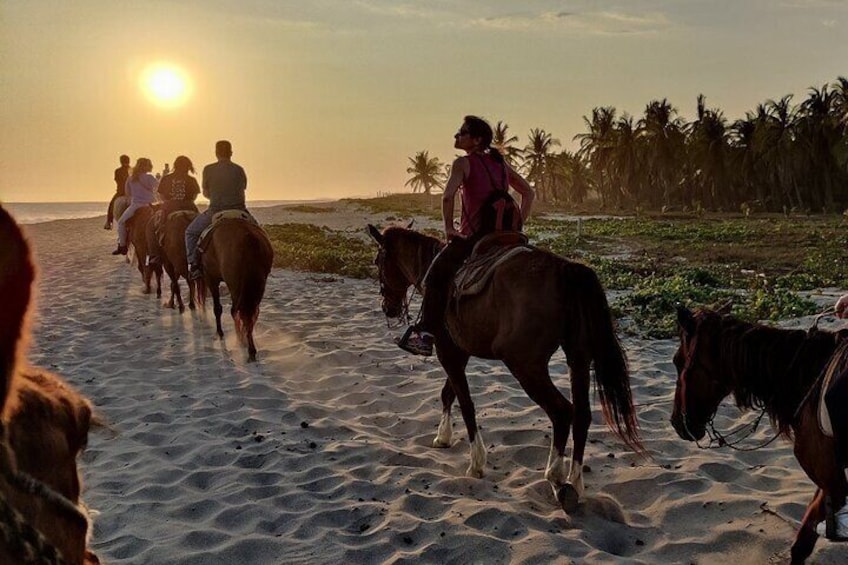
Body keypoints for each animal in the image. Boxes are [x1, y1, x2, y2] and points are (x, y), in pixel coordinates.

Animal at [194, 218, 274, 360]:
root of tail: (248, 239)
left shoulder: (211, 279)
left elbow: (217, 308)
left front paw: (220, 333)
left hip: (235, 286)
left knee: (237, 311)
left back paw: (243, 341)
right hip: (257, 287)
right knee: (250, 313)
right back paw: (248, 345)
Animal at [368, 225, 640, 512]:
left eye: (378, 261)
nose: (388, 308)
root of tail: (566, 269)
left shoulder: (447, 351)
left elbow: (466, 403)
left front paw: (476, 463)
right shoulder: (460, 353)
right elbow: (448, 393)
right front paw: (443, 437)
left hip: (525, 365)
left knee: (562, 412)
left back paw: (555, 476)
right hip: (578, 358)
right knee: (582, 416)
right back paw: (575, 484)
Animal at [668, 306, 848, 560]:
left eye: (677, 361)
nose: (676, 422)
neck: (809, 378)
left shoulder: (832, 479)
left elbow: (802, 544)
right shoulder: (829, 480)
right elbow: (803, 539)